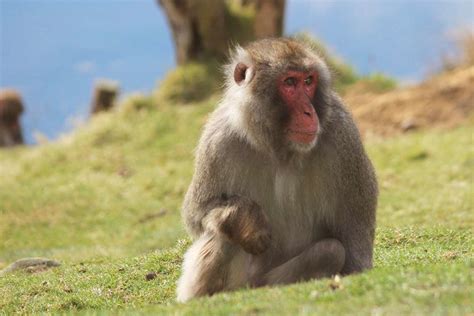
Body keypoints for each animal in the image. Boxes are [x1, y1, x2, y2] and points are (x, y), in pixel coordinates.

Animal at [174, 37, 378, 302]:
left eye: (308, 81)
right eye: (289, 82)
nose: (309, 112)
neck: (279, 148)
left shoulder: (344, 136)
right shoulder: (217, 139)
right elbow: (197, 213)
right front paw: (245, 220)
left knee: (330, 250)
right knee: (223, 235)